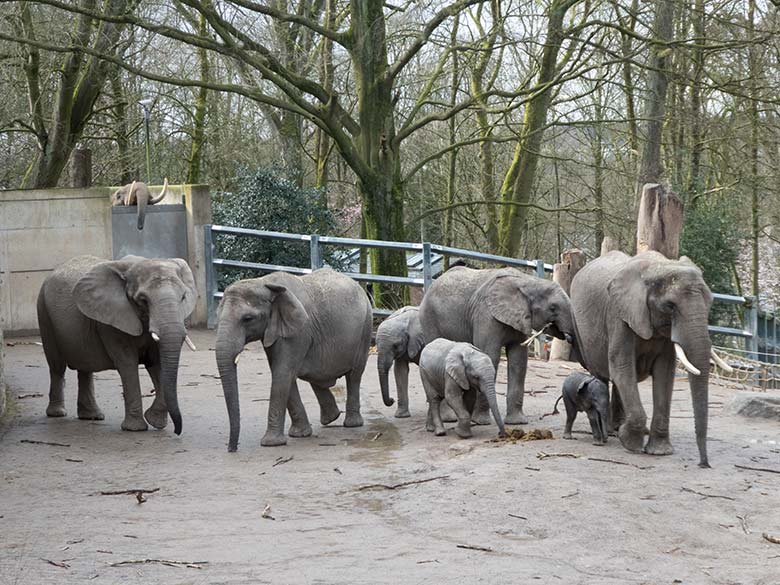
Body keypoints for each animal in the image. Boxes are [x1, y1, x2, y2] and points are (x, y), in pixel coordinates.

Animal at [38, 253, 200, 432]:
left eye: (183, 297)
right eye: (143, 300)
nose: (178, 431)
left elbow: (157, 363)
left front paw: (155, 422)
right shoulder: (110, 321)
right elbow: (127, 364)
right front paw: (135, 429)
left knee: (85, 367)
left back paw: (92, 416)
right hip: (44, 313)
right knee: (57, 366)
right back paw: (57, 413)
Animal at [213, 266, 372, 450]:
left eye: (248, 319)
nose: (232, 449)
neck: (264, 282)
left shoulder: (299, 330)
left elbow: (282, 372)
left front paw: (271, 443)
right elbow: (283, 373)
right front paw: (299, 434)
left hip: (365, 328)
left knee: (354, 375)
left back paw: (351, 424)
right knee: (316, 375)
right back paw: (331, 418)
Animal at [418, 266, 576, 424]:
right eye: (553, 308)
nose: (569, 336)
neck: (528, 282)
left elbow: (519, 361)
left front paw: (517, 422)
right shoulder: (486, 315)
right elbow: (490, 356)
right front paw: (481, 422)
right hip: (429, 317)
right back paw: (449, 419)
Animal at [568, 249, 736, 468]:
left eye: (710, 304)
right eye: (670, 306)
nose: (703, 464)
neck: (657, 267)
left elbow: (665, 373)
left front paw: (659, 451)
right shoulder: (619, 315)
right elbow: (622, 366)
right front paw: (630, 444)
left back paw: (618, 428)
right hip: (580, 326)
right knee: (602, 375)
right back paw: (612, 431)